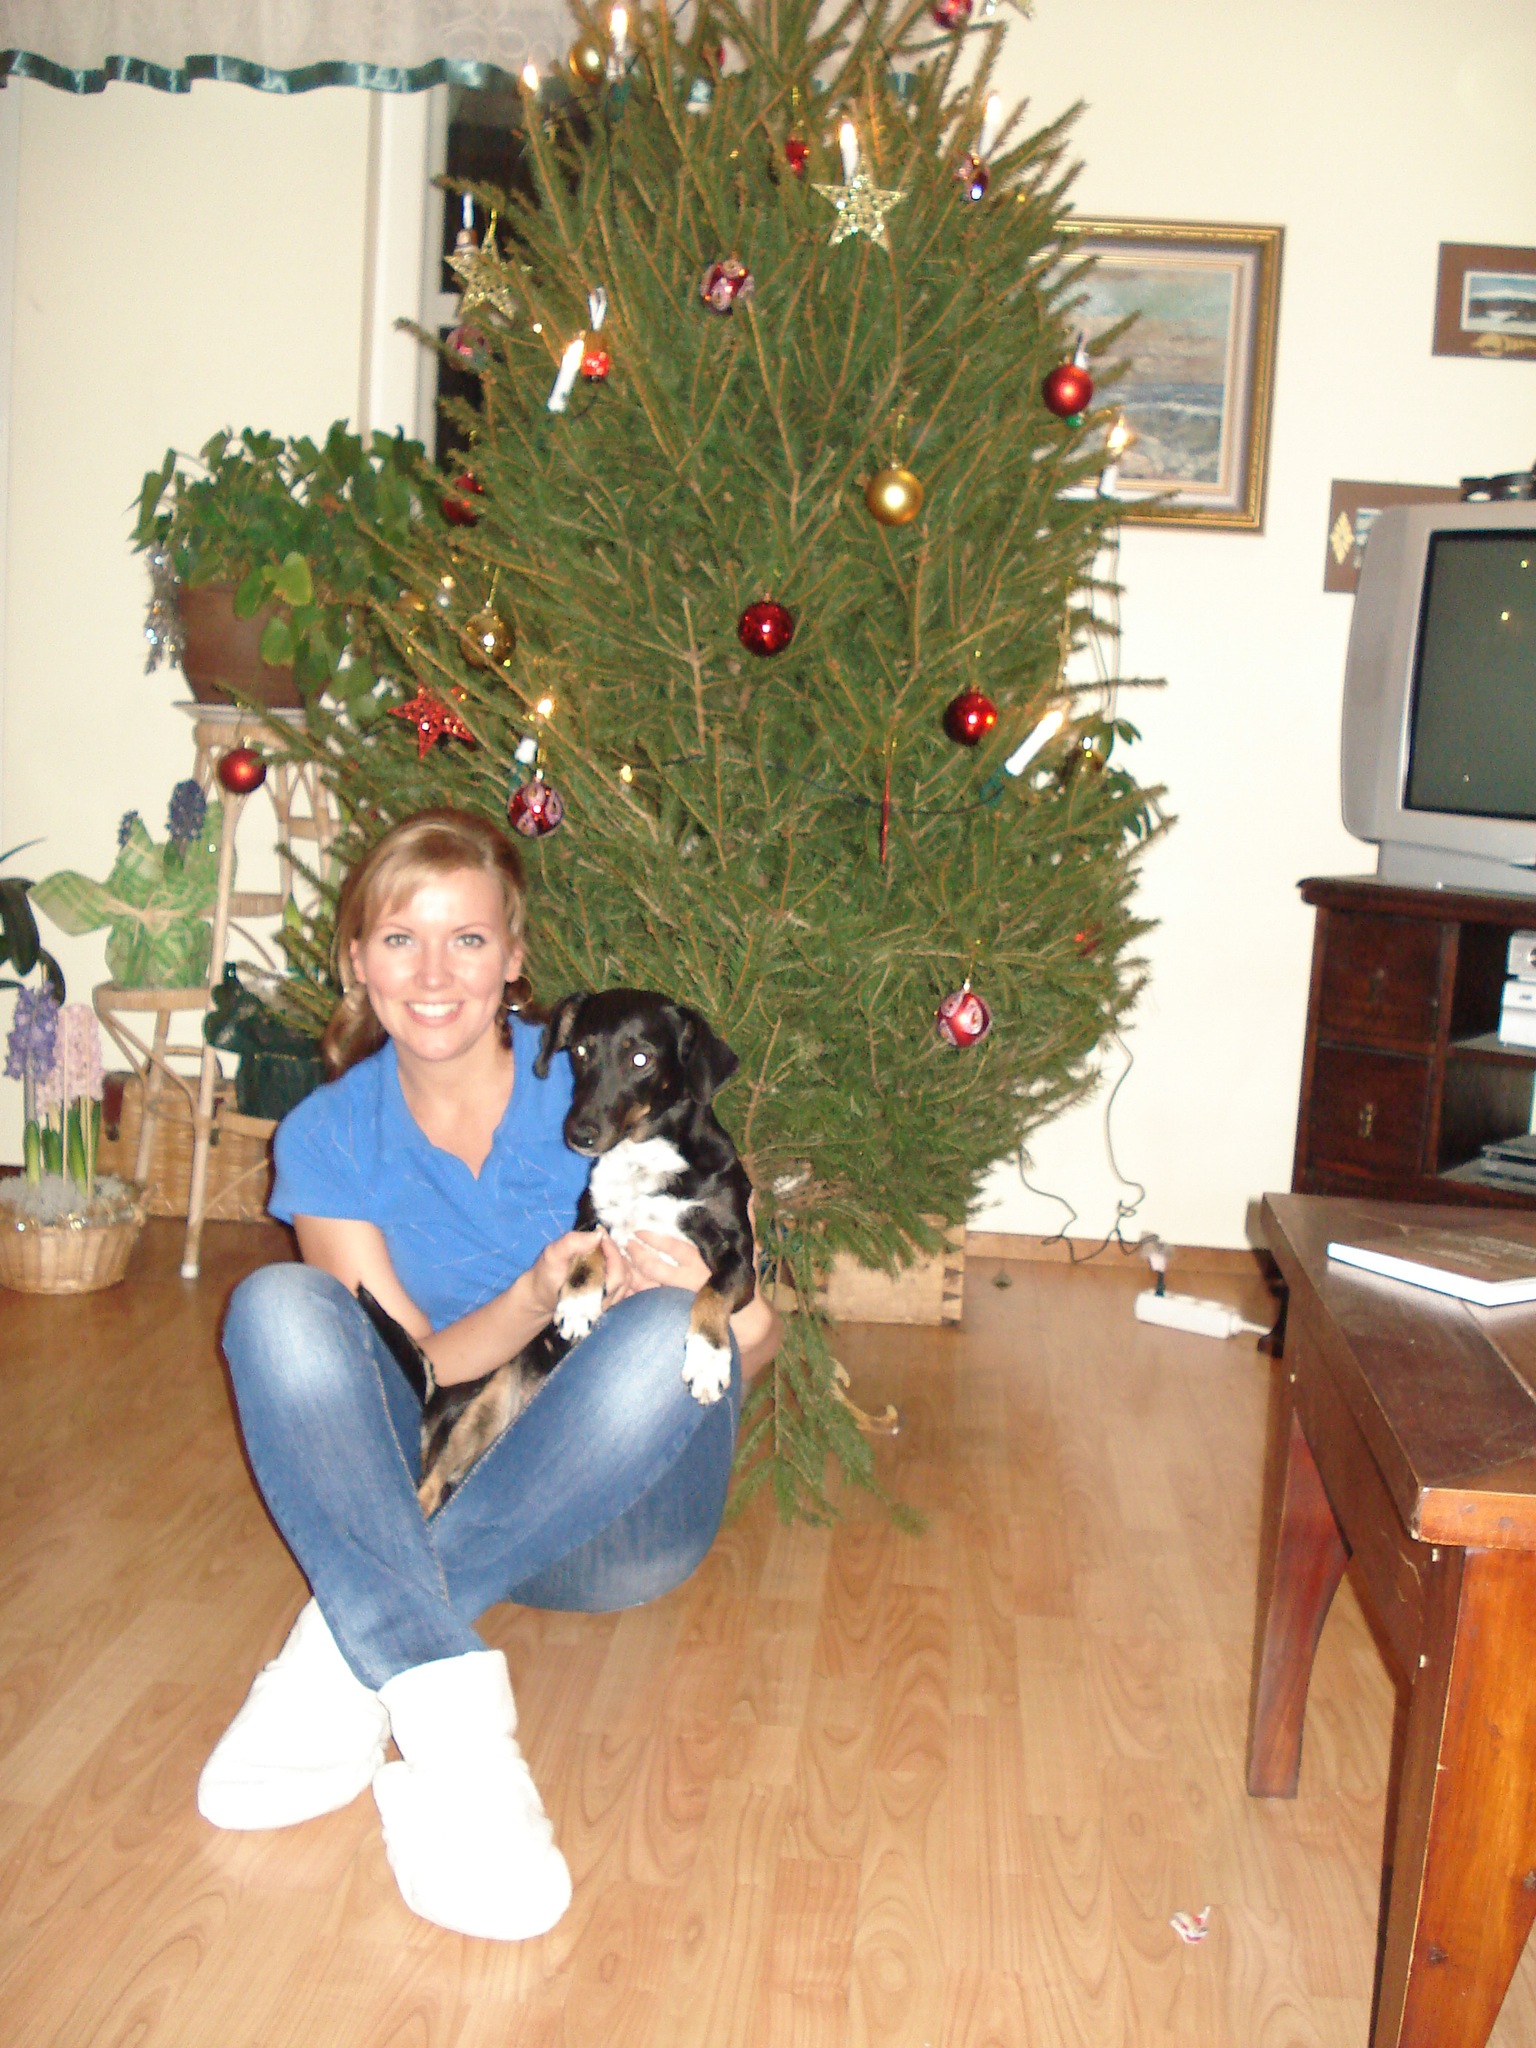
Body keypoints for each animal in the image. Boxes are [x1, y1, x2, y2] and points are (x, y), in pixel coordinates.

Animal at [359, 988, 755, 1515]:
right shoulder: (587, 1219)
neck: (644, 1158)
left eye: (641, 1059)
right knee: (428, 1487)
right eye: (581, 1051)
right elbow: (588, 1256)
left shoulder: (741, 1256)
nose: (578, 1135)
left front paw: (708, 1359)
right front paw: (577, 1305)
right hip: (486, 1402)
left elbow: (712, 1292)